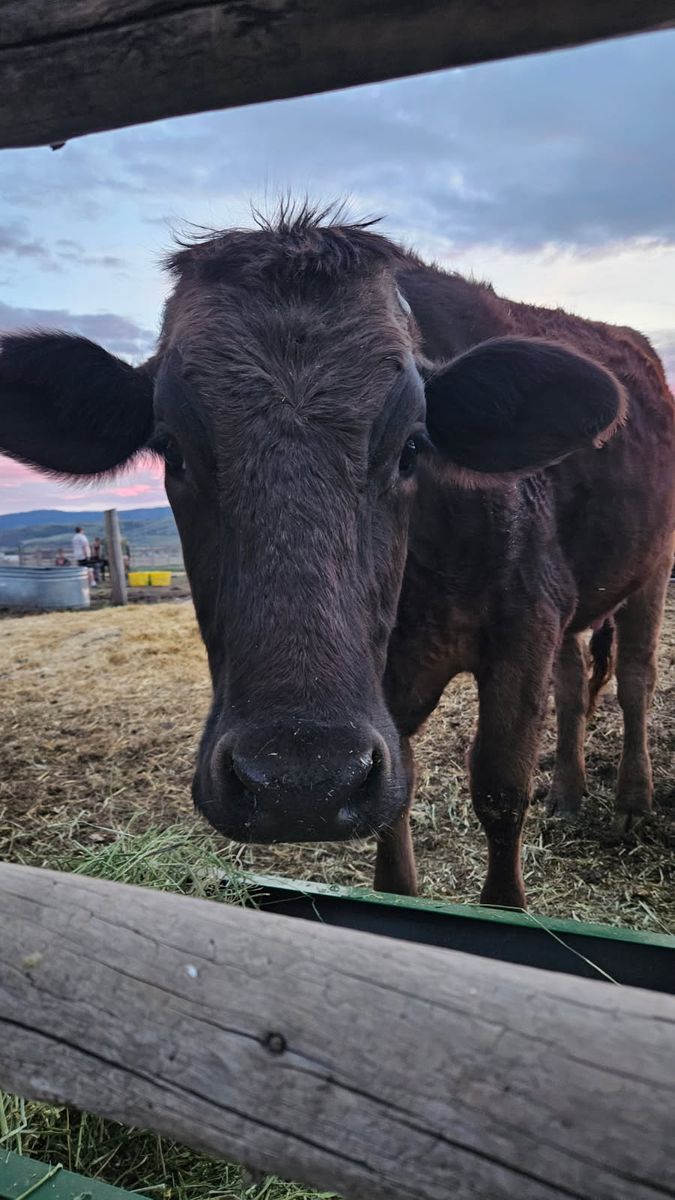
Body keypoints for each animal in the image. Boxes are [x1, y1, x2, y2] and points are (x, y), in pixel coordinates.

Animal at [1, 206, 673, 909]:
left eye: (412, 447)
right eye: (173, 451)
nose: (299, 784)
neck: (417, 601)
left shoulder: (525, 628)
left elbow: (499, 788)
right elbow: (395, 821)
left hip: (653, 568)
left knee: (634, 678)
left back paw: (632, 802)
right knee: (574, 684)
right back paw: (568, 794)